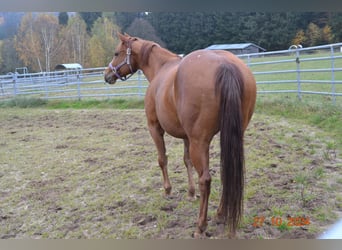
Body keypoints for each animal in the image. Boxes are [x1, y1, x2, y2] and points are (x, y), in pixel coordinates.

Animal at [104, 33, 256, 238]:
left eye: (116, 53)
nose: (107, 75)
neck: (161, 68)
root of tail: (225, 64)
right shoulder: (186, 137)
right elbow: (186, 161)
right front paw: (191, 193)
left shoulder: (155, 128)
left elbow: (162, 159)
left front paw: (167, 190)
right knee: (226, 172)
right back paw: (220, 214)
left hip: (200, 142)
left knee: (205, 180)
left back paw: (200, 226)